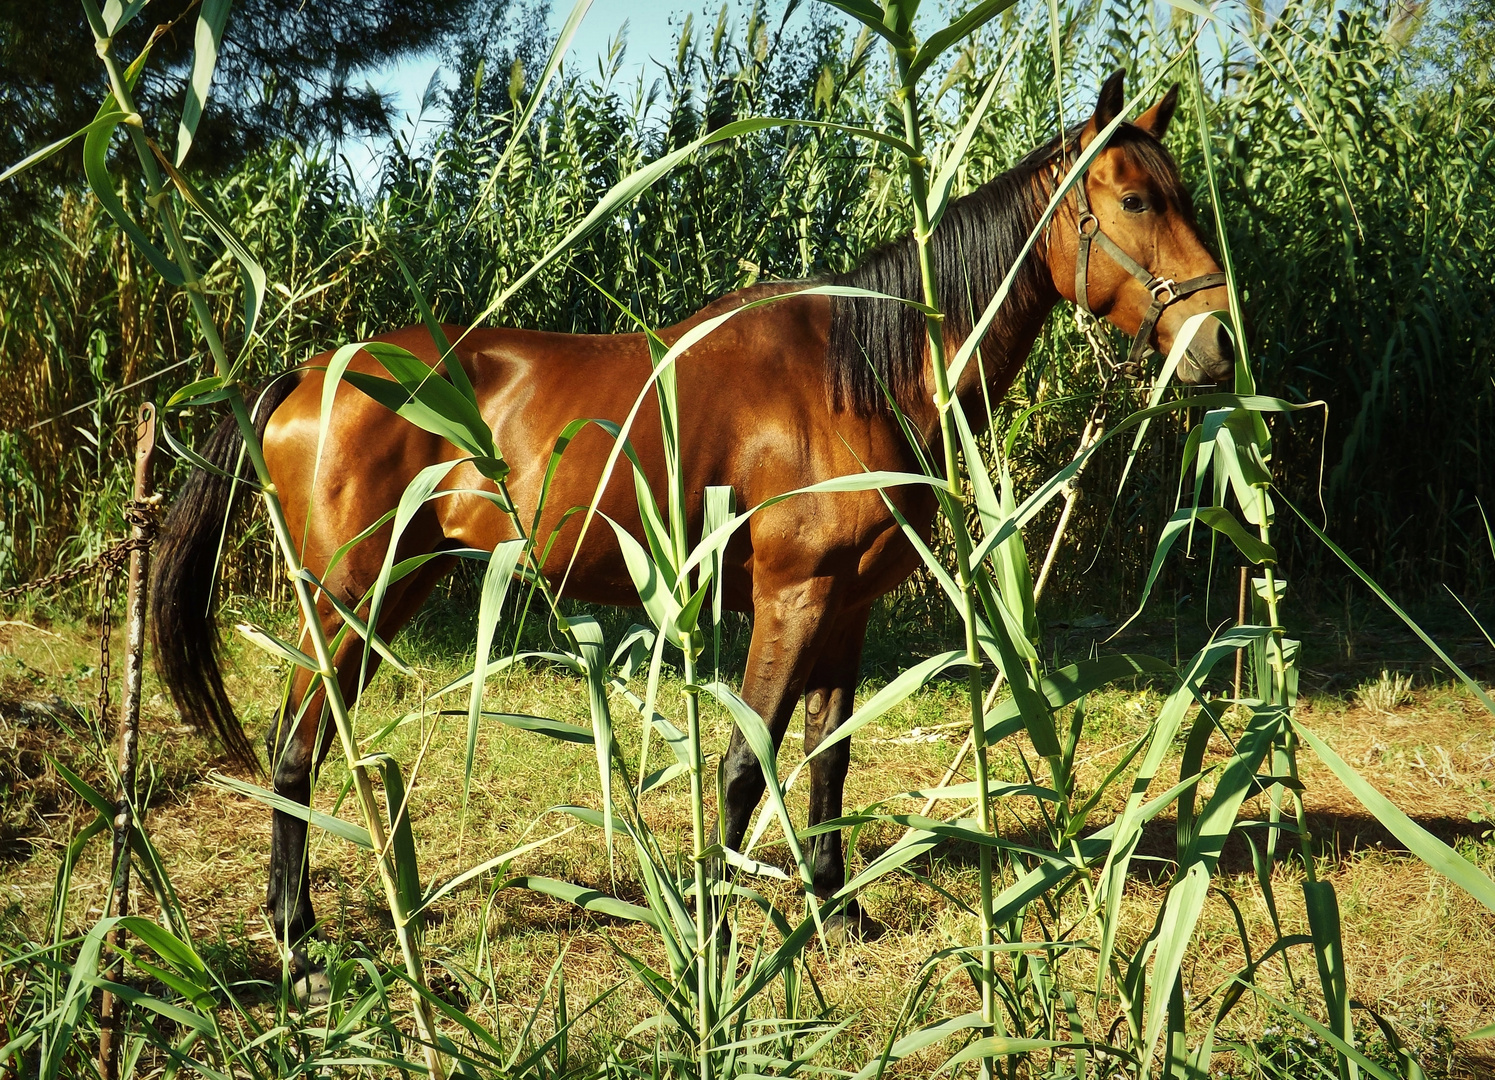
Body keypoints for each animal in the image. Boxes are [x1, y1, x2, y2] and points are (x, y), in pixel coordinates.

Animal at [151, 69, 1231, 969]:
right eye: (1134, 200)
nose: (1218, 344)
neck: (855, 371)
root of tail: (308, 370)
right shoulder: (792, 599)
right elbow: (745, 767)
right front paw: (713, 940)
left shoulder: (848, 609)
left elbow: (828, 759)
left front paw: (838, 912)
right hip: (348, 592)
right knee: (295, 744)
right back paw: (296, 939)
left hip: (397, 587)